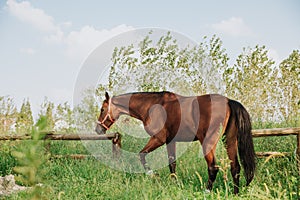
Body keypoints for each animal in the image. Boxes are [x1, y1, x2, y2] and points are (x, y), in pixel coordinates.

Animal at [96, 91, 255, 195]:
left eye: (102, 109)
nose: (98, 129)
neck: (152, 105)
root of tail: (228, 101)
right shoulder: (170, 141)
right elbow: (172, 163)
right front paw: (174, 184)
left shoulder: (158, 139)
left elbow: (141, 155)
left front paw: (153, 175)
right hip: (229, 140)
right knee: (235, 167)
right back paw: (235, 193)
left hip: (208, 142)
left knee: (213, 167)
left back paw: (206, 192)